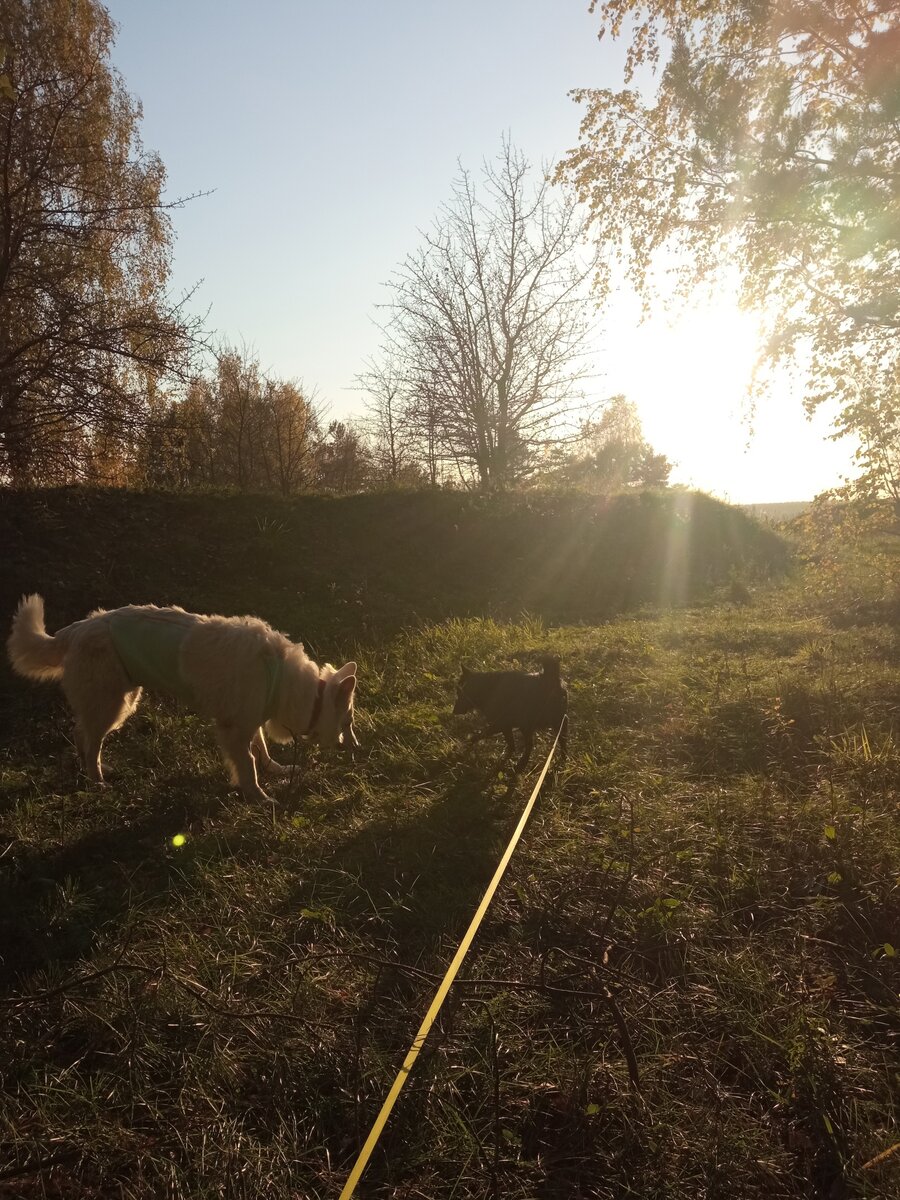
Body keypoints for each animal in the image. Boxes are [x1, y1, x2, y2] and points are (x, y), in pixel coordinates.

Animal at [8, 592, 360, 801]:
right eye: (348, 722)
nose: (358, 749)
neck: (282, 679)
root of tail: (77, 628)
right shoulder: (233, 730)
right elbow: (247, 763)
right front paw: (259, 797)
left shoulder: (250, 720)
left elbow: (261, 749)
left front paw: (276, 770)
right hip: (112, 704)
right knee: (88, 737)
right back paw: (97, 782)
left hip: (115, 702)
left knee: (83, 734)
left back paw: (93, 773)